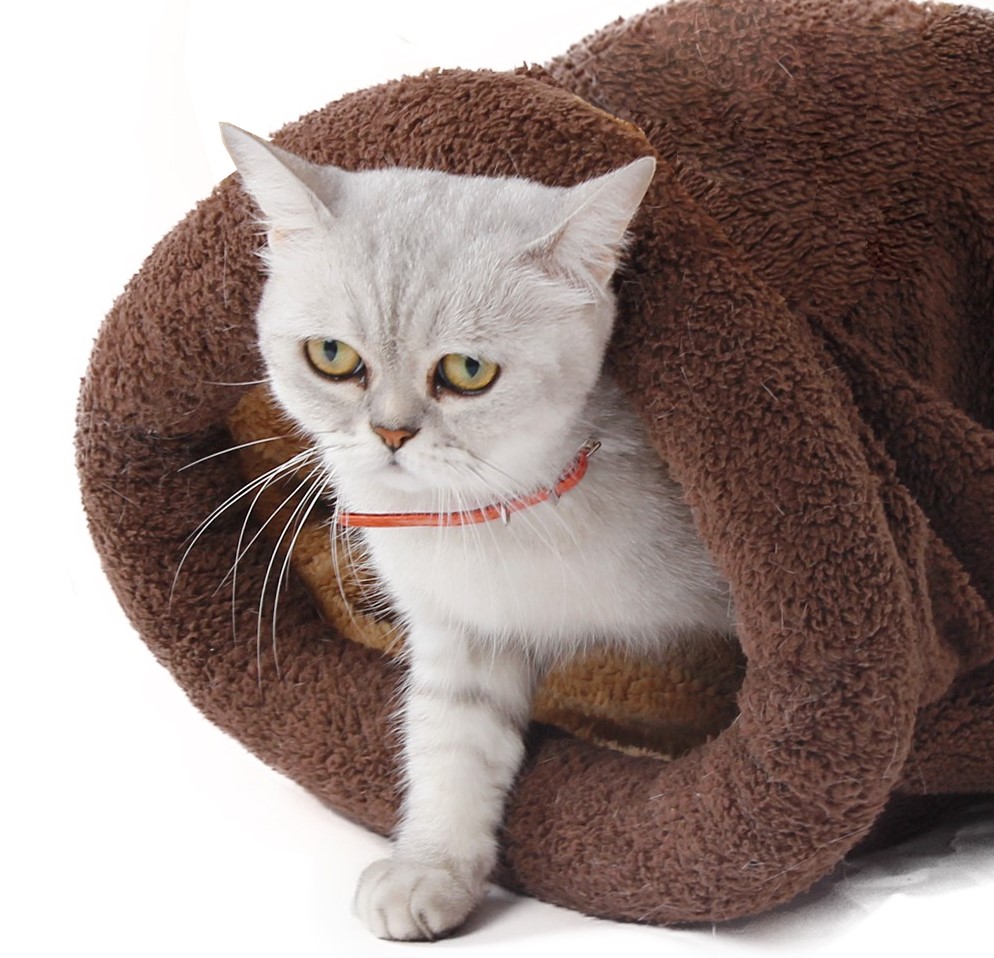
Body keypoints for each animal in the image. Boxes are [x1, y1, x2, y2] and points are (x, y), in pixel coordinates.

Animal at [221, 123, 734, 940]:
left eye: (467, 371)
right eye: (333, 357)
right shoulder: (461, 633)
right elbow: (448, 746)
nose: (391, 432)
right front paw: (430, 869)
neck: (492, 525)